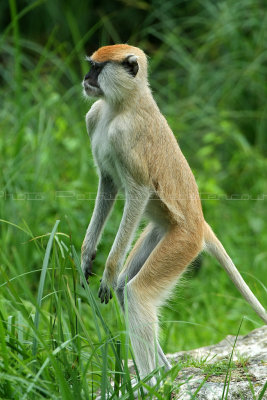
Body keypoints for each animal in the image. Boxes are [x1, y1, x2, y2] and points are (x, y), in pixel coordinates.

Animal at [81, 45, 267, 392]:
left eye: (98, 69)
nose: (86, 79)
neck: (123, 105)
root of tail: (201, 223)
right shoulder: (94, 118)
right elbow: (108, 184)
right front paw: (87, 255)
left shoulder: (126, 137)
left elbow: (137, 192)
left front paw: (108, 271)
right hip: (164, 232)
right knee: (129, 288)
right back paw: (163, 372)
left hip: (183, 242)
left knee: (137, 294)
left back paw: (151, 385)